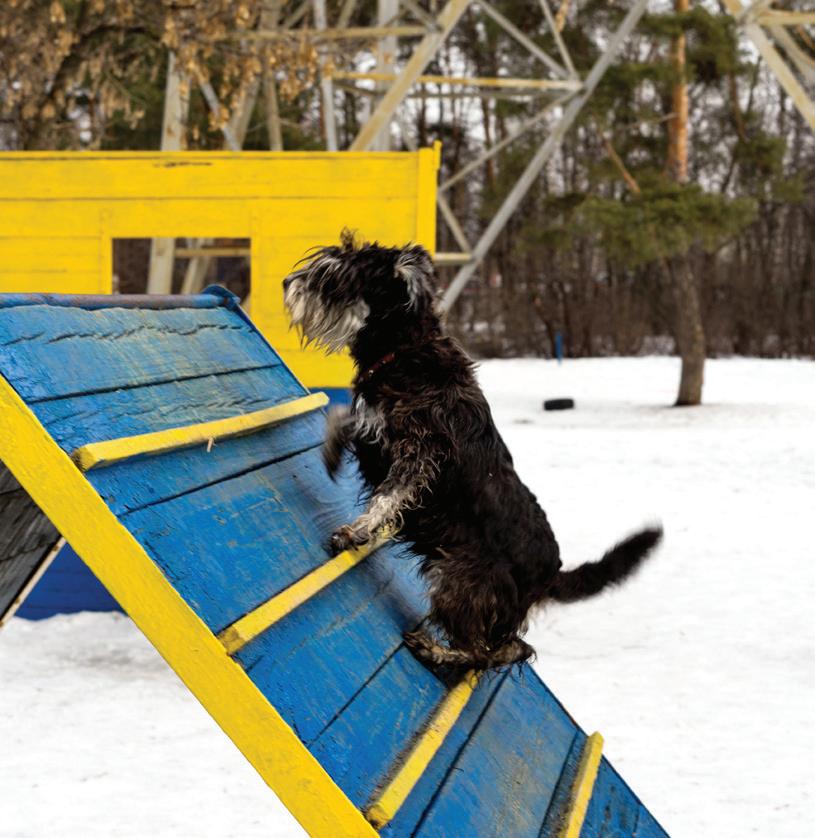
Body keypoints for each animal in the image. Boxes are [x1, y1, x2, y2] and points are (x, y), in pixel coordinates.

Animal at [283, 232, 662, 670]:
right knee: (511, 648)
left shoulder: (421, 452)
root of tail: (552, 572)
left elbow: (388, 495)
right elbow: (343, 415)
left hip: (460, 581)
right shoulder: (380, 425)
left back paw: (435, 650)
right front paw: (331, 454)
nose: (287, 284)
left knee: (489, 651)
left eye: (336, 276)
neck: (407, 349)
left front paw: (355, 531)